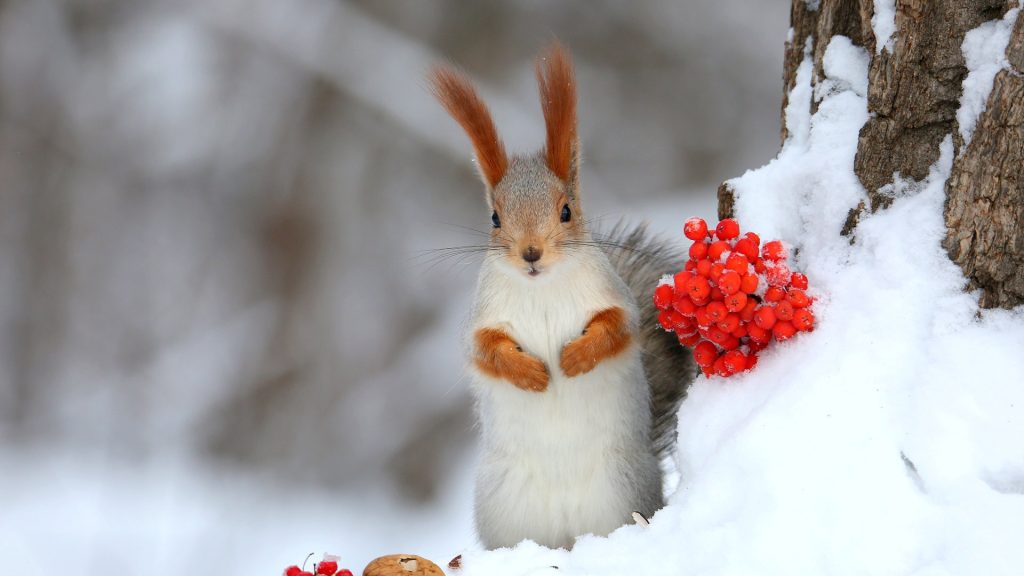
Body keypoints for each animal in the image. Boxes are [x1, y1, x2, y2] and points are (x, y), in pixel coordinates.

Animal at [429, 43, 694, 550]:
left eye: (566, 211)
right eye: (495, 218)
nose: (531, 253)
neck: (543, 287)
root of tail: (568, 536)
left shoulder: (617, 300)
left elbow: (615, 329)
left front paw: (573, 359)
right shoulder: (483, 316)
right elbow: (486, 349)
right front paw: (531, 374)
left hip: (619, 489)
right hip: (505, 507)